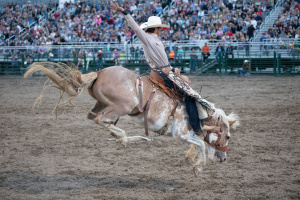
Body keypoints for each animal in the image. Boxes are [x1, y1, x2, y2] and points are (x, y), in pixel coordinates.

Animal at [25, 62, 241, 175]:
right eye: (228, 136)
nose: (223, 158)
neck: (196, 109)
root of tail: (100, 72)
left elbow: (198, 143)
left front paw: (192, 160)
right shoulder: (179, 133)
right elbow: (202, 143)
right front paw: (198, 166)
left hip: (102, 104)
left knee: (93, 117)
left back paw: (123, 137)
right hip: (123, 105)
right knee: (101, 120)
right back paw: (125, 137)